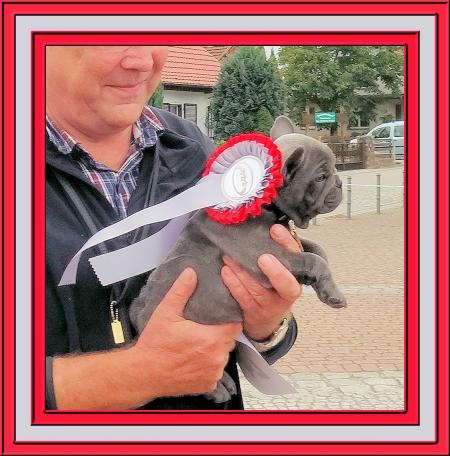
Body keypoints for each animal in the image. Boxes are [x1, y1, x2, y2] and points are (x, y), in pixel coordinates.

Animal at [130, 115, 346, 403]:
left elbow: (316, 250)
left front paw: (328, 288)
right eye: (321, 176)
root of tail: (138, 316)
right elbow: (312, 259)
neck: (267, 206)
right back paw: (218, 390)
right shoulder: (266, 255)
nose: (340, 182)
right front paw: (334, 295)